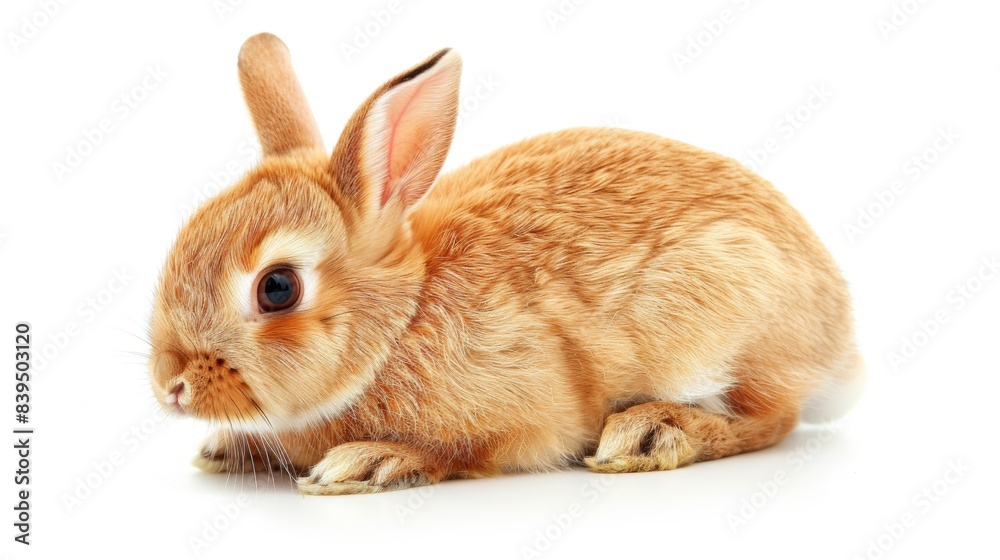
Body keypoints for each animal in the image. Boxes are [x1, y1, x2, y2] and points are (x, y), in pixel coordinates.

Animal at [148, 32, 864, 495]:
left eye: (277, 288)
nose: (170, 387)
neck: (400, 323)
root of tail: (839, 342)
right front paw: (225, 449)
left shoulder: (523, 410)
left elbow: (472, 448)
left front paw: (368, 462)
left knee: (770, 418)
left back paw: (652, 433)